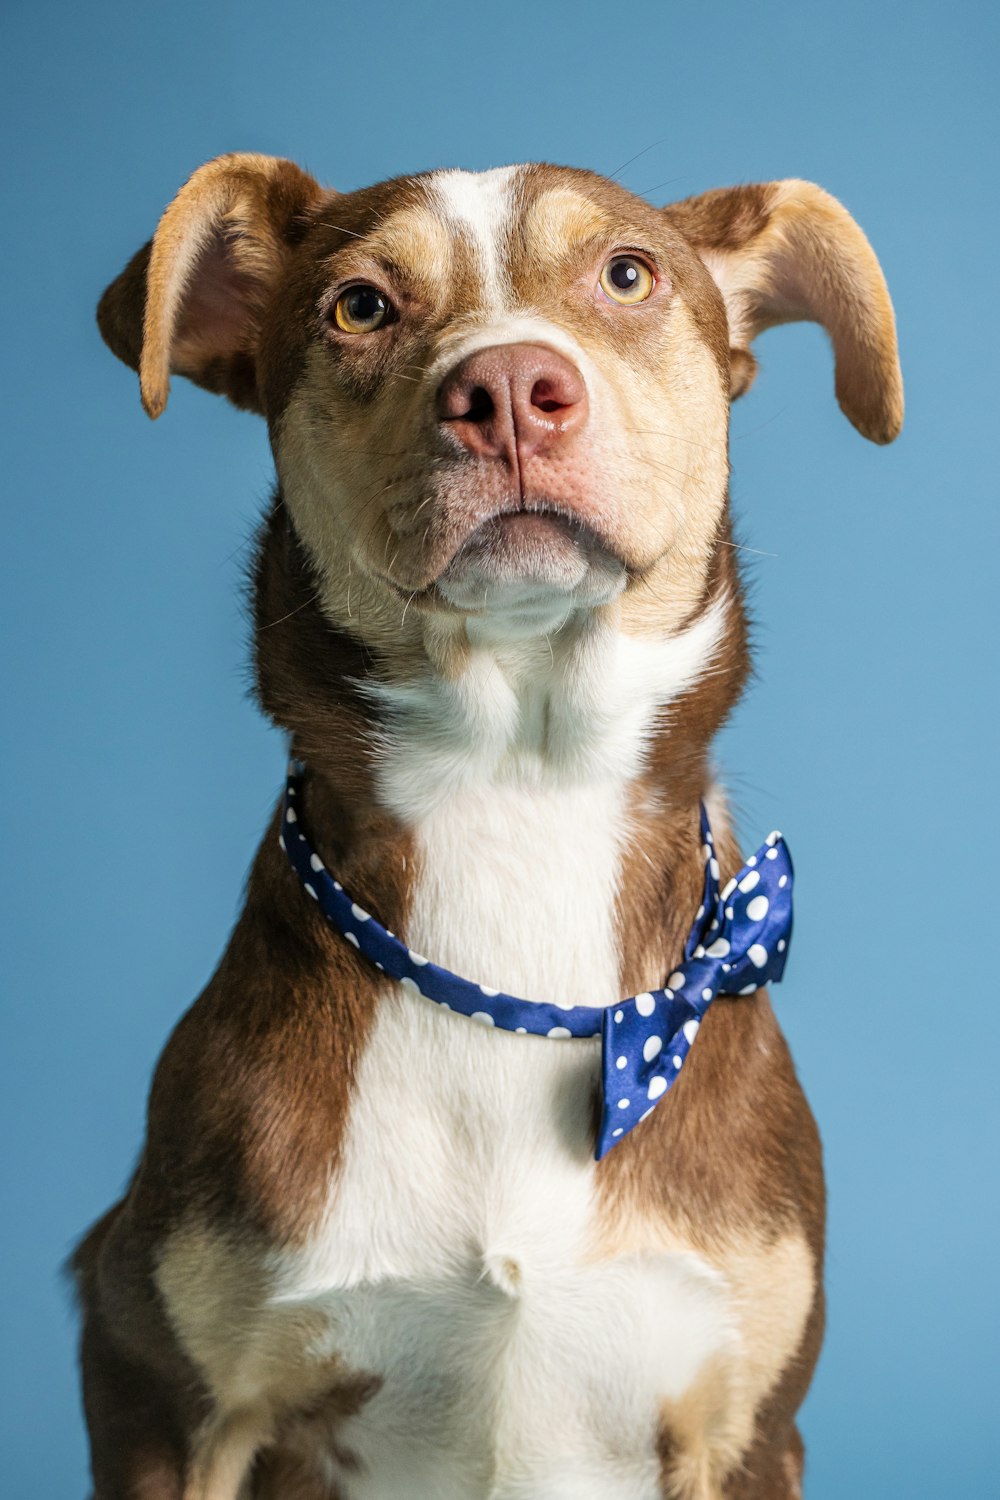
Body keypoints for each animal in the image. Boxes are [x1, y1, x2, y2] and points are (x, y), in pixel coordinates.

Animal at [74, 155, 905, 1500]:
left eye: (629, 274)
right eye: (359, 306)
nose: (510, 388)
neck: (518, 796)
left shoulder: (742, 1424)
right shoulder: (164, 1397)